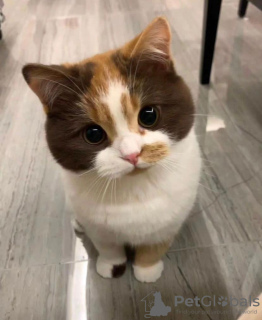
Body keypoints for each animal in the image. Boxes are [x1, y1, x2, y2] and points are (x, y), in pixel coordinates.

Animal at [23, 17, 203, 282]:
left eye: (149, 115)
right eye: (93, 134)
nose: (132, 154)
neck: (135, 189)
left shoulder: (169, 221)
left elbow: (156, 245)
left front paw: (147, 270)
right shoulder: (99, 227)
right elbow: (108, 247)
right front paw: (111, 266)